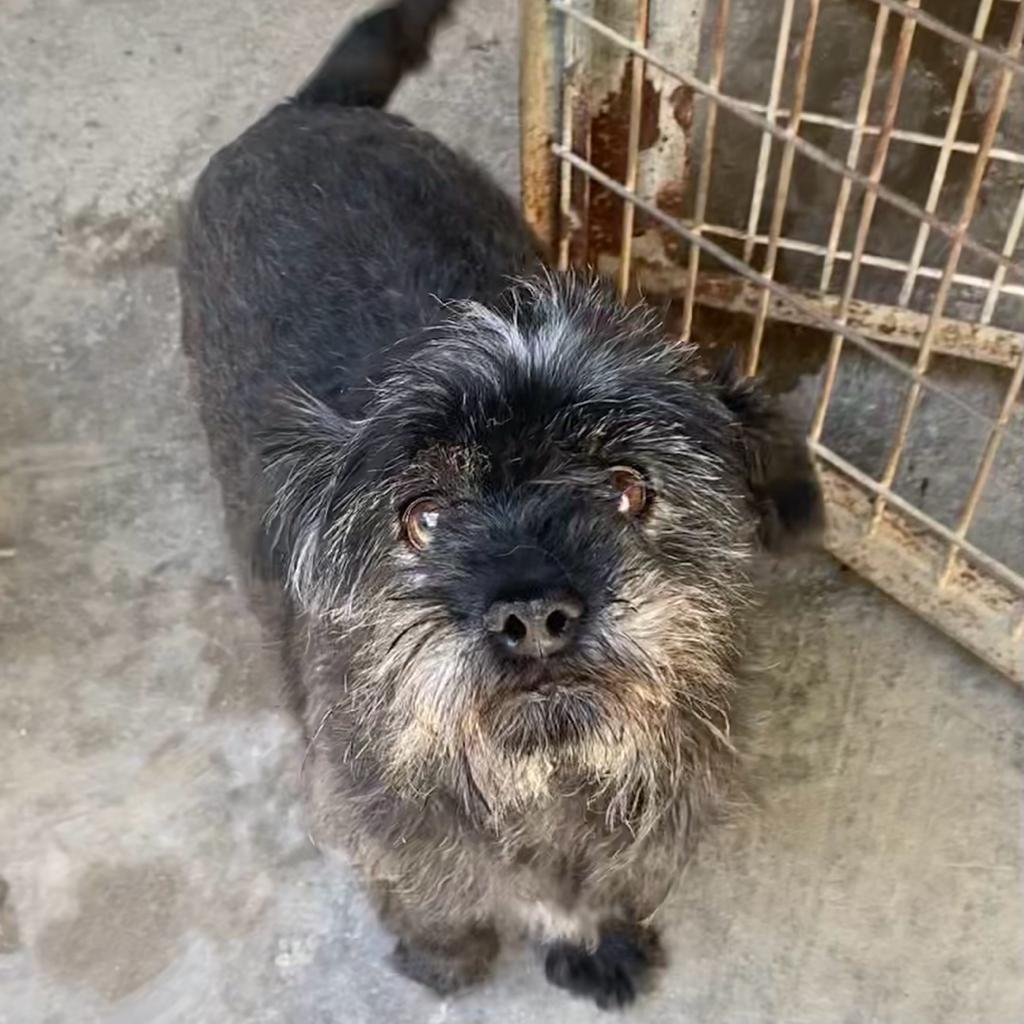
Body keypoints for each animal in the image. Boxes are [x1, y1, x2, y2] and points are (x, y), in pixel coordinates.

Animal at [179, 0, 822, 1009]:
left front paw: (592, 939)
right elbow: (435, 886)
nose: (533, 615)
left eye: (629, 488)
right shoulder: (382, 814)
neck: (544, 777)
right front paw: (444, 954)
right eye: (424, 515)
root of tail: (309, 110)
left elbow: (597, 882)